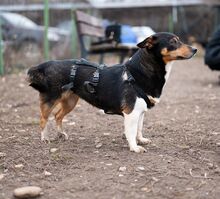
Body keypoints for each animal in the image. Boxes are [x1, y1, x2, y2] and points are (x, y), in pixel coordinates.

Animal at [26, 32, 197, 152]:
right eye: (173, 42)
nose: (195, 49)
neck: (138, 73)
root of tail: (45, 65)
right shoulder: (131, 113)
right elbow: (131, 131)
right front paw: (134, 147)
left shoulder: (141, 111)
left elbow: (139, 129)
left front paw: (141, 140)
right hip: (50, 99)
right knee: (43, 119)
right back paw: (45, 138)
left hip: (70, 101)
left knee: (58, 116)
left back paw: (61, 134)